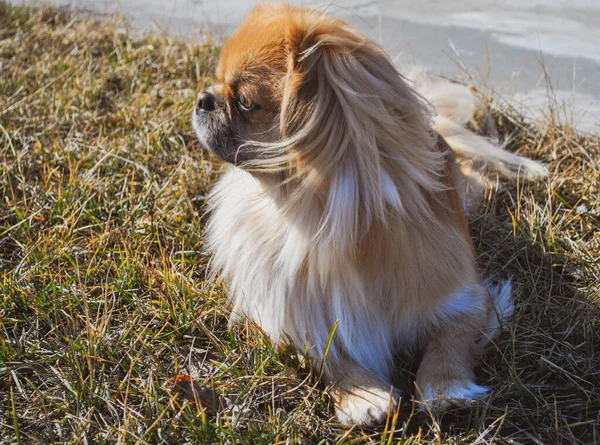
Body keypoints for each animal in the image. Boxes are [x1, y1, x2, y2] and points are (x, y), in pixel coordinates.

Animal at [191, 5, 544, 424]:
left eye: (246, 102)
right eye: (216, 83)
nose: (204, 97)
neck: (308, 218)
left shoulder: (467, 297)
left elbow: (451, 338)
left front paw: (446, 387)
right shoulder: (291, 317)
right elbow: (328, 352)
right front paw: (363, 396)